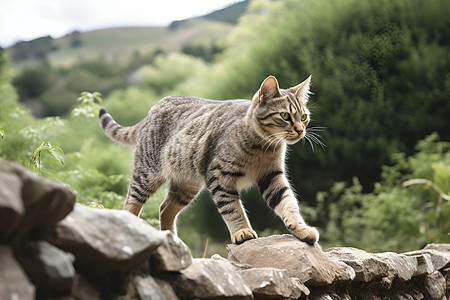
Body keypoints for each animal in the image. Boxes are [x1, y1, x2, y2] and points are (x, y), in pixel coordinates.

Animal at [99, 74, 320, 244]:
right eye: (285, 116)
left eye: (304, 117)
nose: (301, 130)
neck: (263, 147)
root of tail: (153, 108)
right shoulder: (219, 176)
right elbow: (233, 208)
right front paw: (242, 231)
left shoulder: (272, 176)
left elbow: (288, 203)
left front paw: (301, 228)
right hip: (147, 175)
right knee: (129, 204)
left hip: (186, 186)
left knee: (165, 209)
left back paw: (173, 241)